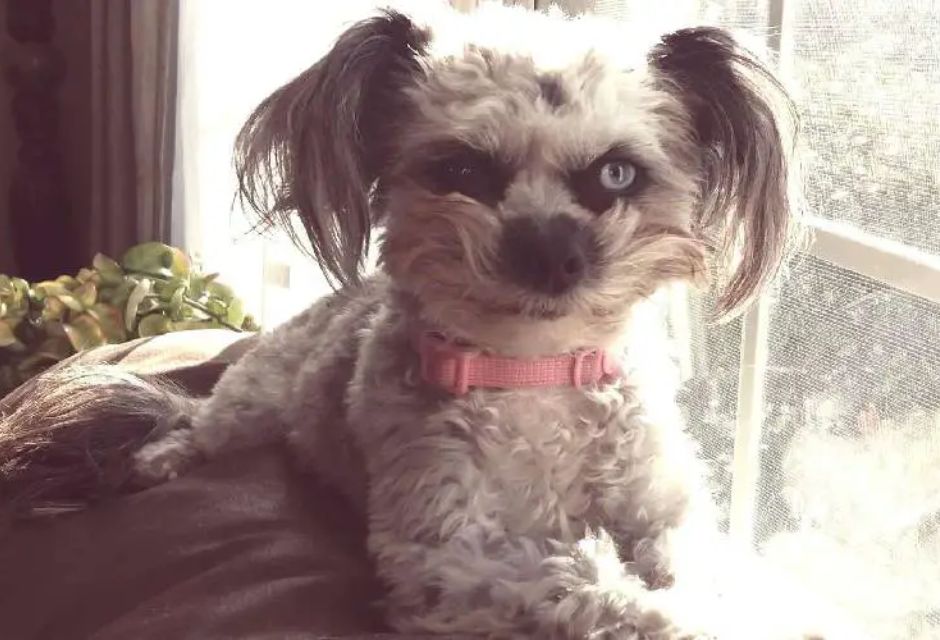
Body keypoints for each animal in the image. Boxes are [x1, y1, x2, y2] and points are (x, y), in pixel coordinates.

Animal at [3, 5, 808, 640]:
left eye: (616, 174)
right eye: (462, 173)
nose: (553, 253)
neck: (531, 369)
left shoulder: (666, 511)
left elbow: (685, 562)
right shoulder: (445, 554)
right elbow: (572, 576)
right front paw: (668, 614)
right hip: (248, 406)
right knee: (198, 421)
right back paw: (162, 456)